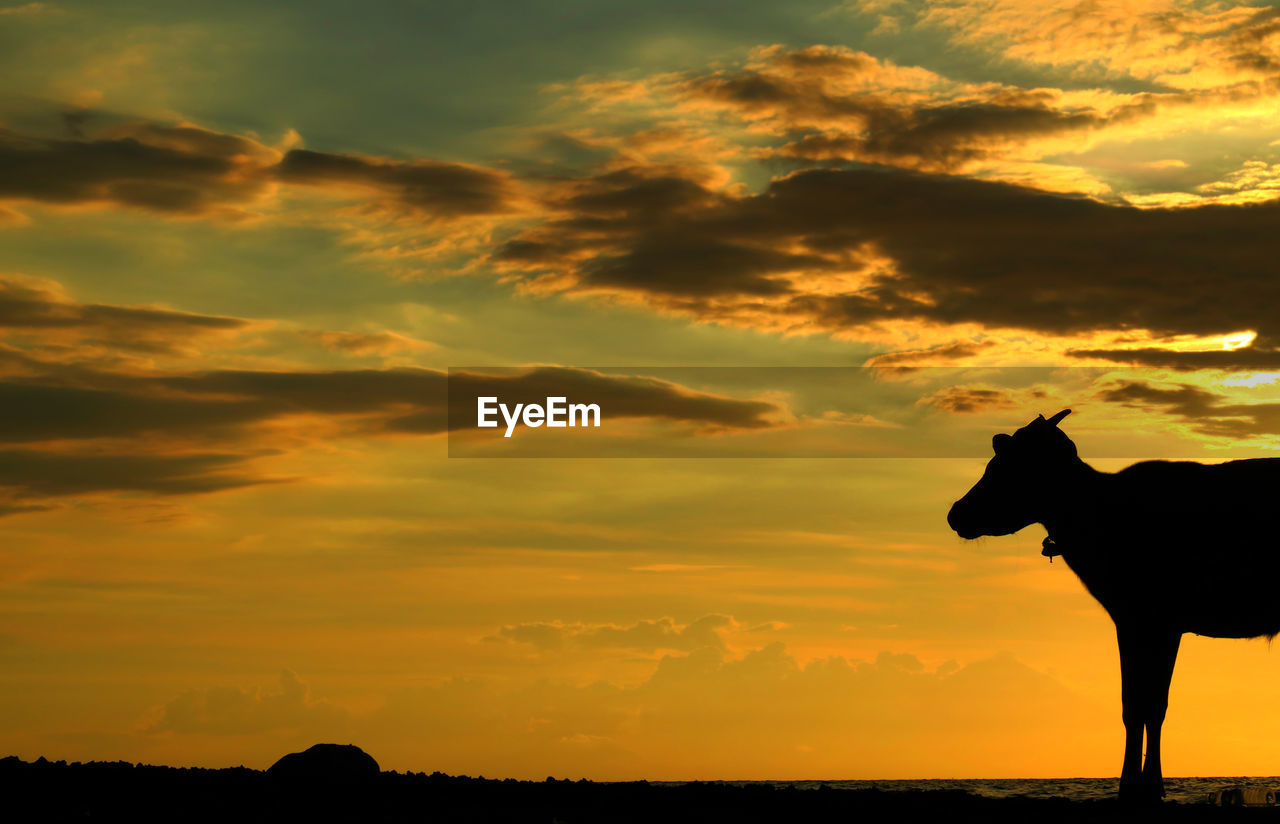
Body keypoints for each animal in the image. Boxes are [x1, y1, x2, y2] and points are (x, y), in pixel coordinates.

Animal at [947, 412, 1280, 803]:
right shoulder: (1143, 622)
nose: (955, 514)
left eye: (1000, 466)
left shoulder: (1150, 619)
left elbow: (1144, 705)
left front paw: (1137, 786)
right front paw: (1144, 784)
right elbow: (1141, 704)